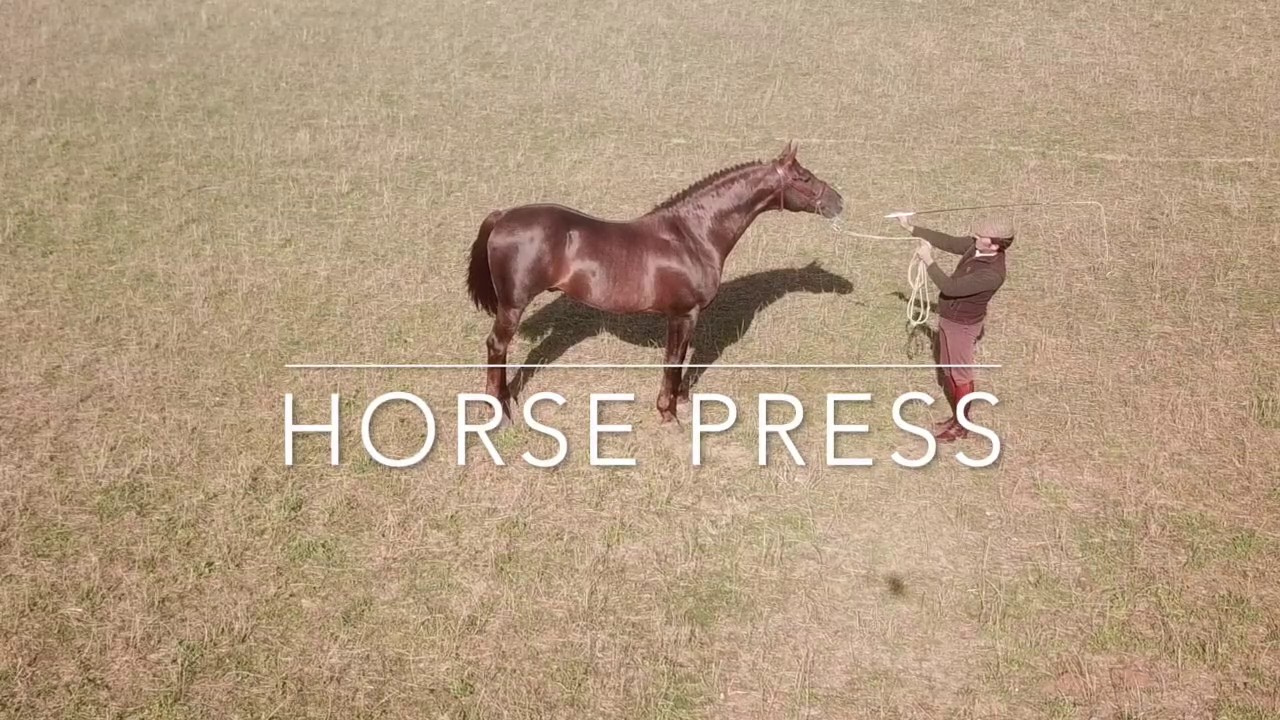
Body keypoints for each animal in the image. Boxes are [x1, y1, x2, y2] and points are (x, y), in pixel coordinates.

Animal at [465, 140, 845, 425]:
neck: (692, 235)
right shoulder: (684, 314)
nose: (838, 202)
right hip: (513, 305)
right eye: (804, 178)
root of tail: (503, 216)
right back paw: (500, 412)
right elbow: (673, 361)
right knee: (497, 346)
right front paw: (669, 414)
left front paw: (680, 402)